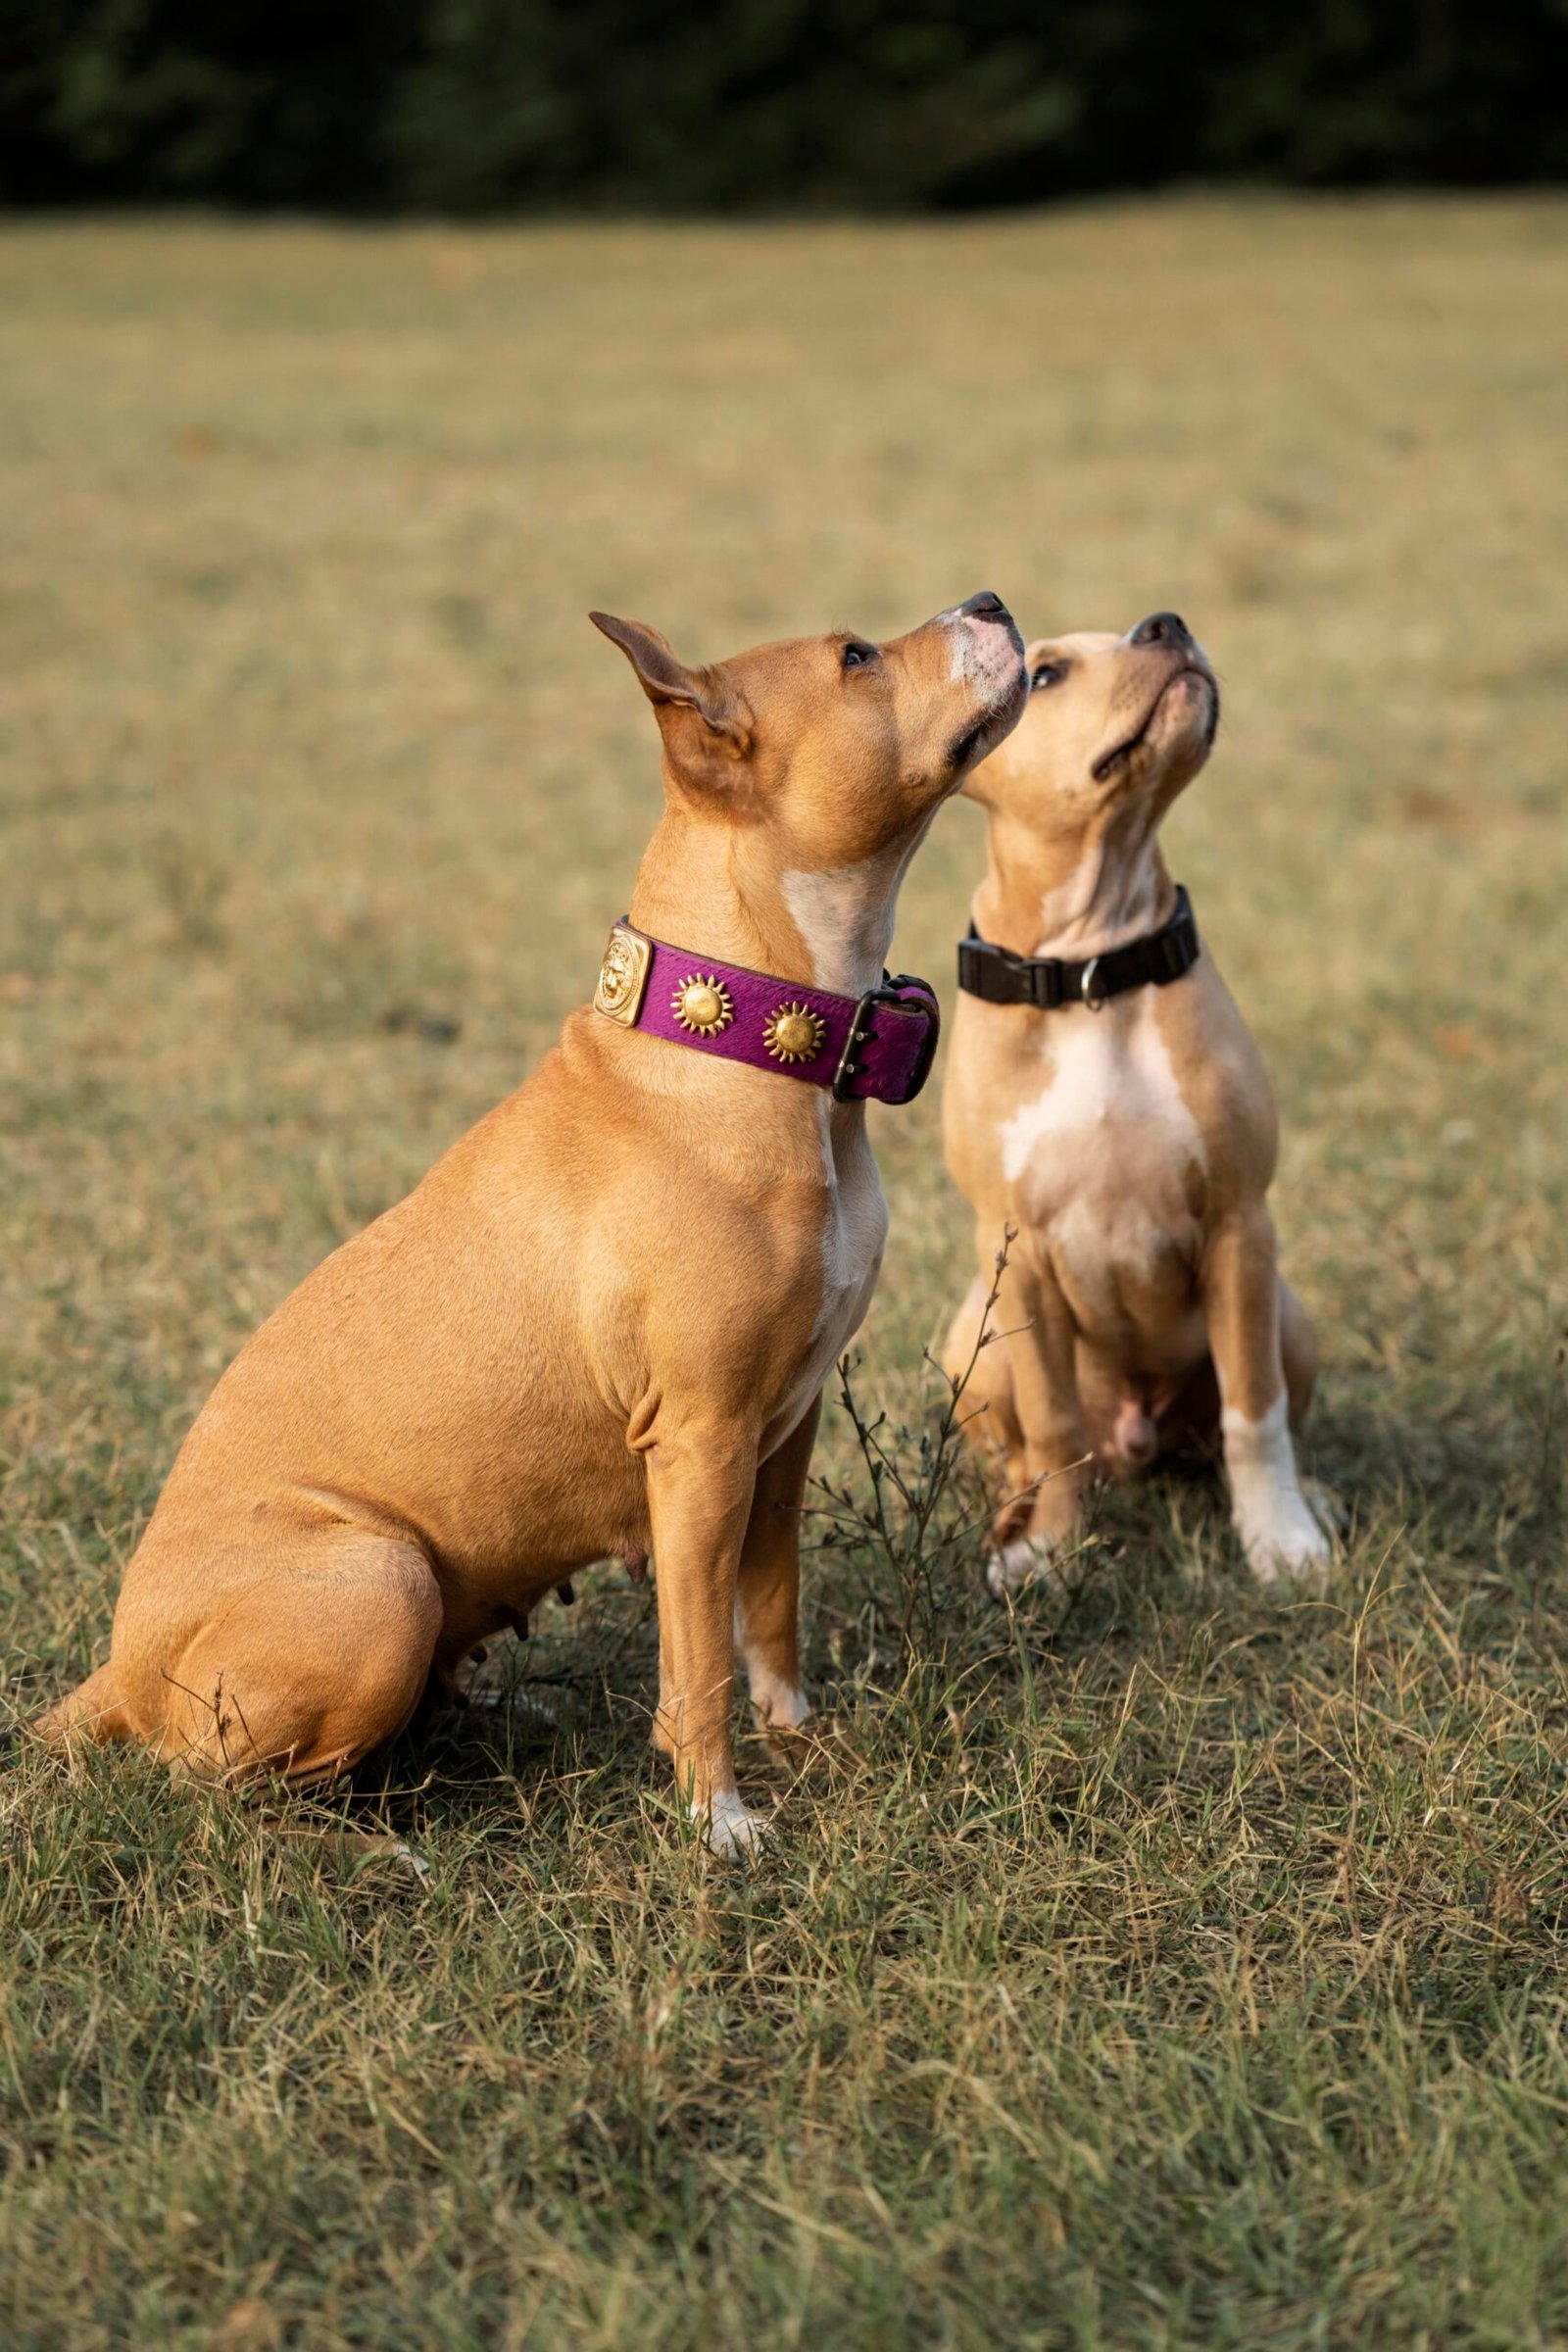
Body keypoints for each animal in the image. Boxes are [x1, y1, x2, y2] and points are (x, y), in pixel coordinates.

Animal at [39, 592, 1029, 1853]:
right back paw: (385, 1848)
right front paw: (718, 1819)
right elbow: (697, 1657)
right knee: (223, 1786)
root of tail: (116, 1669)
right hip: (383, 1582)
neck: (750, 1037)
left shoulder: (783, 1428)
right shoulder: (701, 1444)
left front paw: (797, 1738)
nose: (992, 603)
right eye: (854, 657)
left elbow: (769, 1611)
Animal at [940, 612, 1335, 1599]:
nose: (1168, 624)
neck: (1093, 973)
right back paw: (1011, 1519)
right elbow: (1051, 1424)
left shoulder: (1239, 1225)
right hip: (975, 1336)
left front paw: (1281, 1539)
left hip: (1288, 1313)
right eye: (1045, 675)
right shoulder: (1018, 1255)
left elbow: (1254, 1412)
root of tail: (1134, 1433)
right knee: (1026, 1447)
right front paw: (1048, 1551)